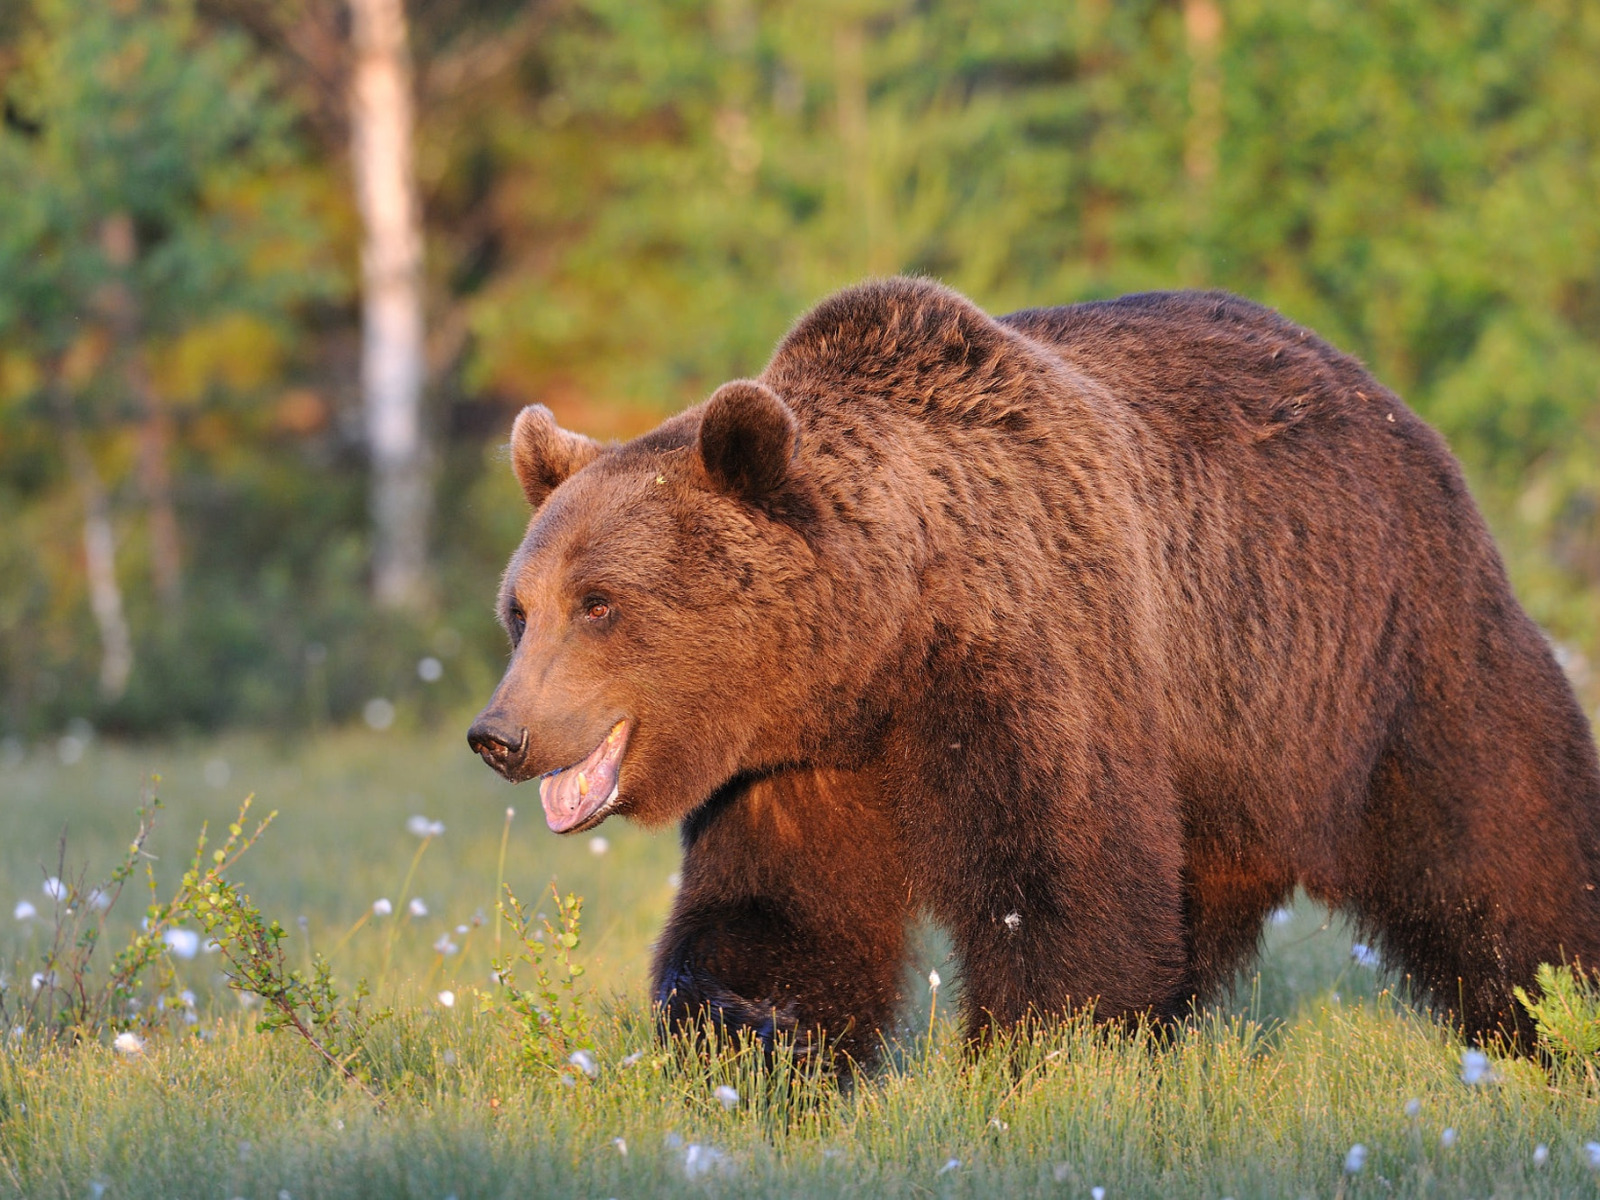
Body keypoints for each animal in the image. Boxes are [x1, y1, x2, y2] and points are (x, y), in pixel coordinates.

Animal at [467, 276, 1600, 1056]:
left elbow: (1063, 887)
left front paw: (1033, 1057)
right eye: (520, 611)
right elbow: (774, 914)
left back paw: (1558, 1013)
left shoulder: (1033, 652)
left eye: (601, 604)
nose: (500, 735)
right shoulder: (795, 763)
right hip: (1226, 748)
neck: (881, 647)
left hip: (1383, 652)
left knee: (1502, 842)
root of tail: (1381, 393)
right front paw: (757, 1032)